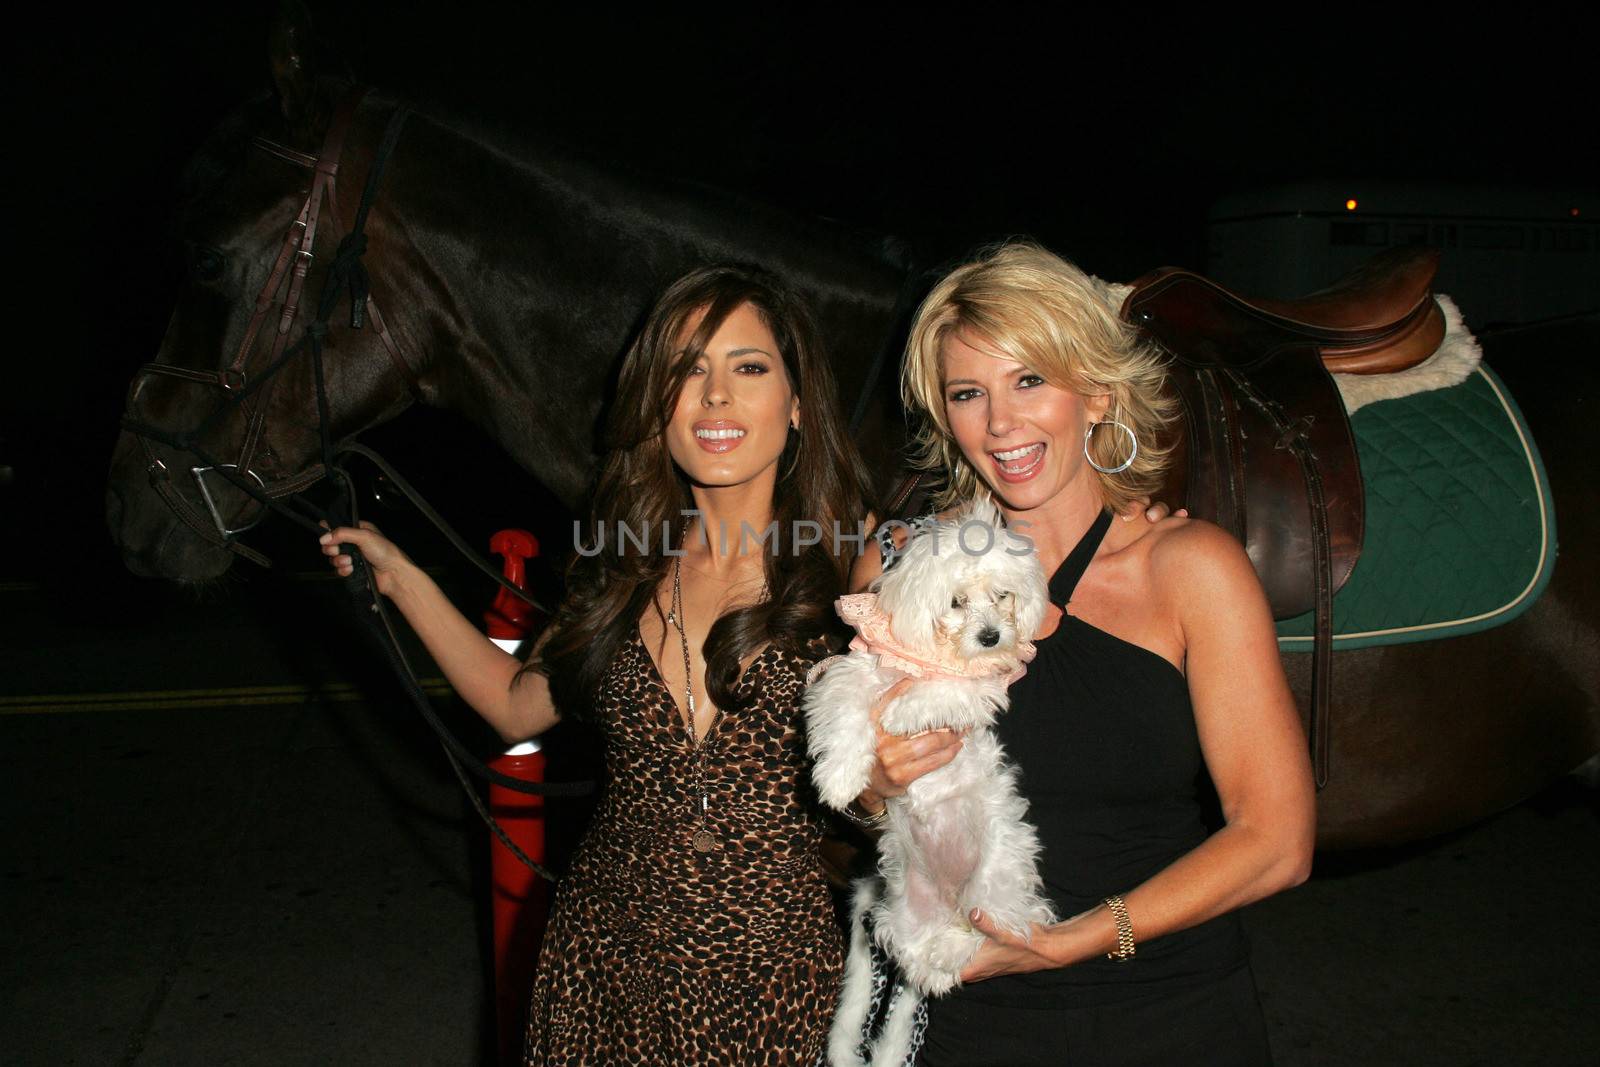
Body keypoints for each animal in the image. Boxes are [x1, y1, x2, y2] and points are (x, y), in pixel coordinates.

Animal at [806, 502, 1056, 1067]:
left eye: (1002, 595)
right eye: (956, 602)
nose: (991, 637)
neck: (937, 652)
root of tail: (947, 906)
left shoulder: (975, 690)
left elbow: (940, 691)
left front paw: (902, 712)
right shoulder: (858, 670)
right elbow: (847, 714)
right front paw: (839, 778)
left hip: (994, 878)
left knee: (990, 933)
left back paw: (952, 949)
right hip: (898, 911)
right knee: (916, 953)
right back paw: (930, 965)